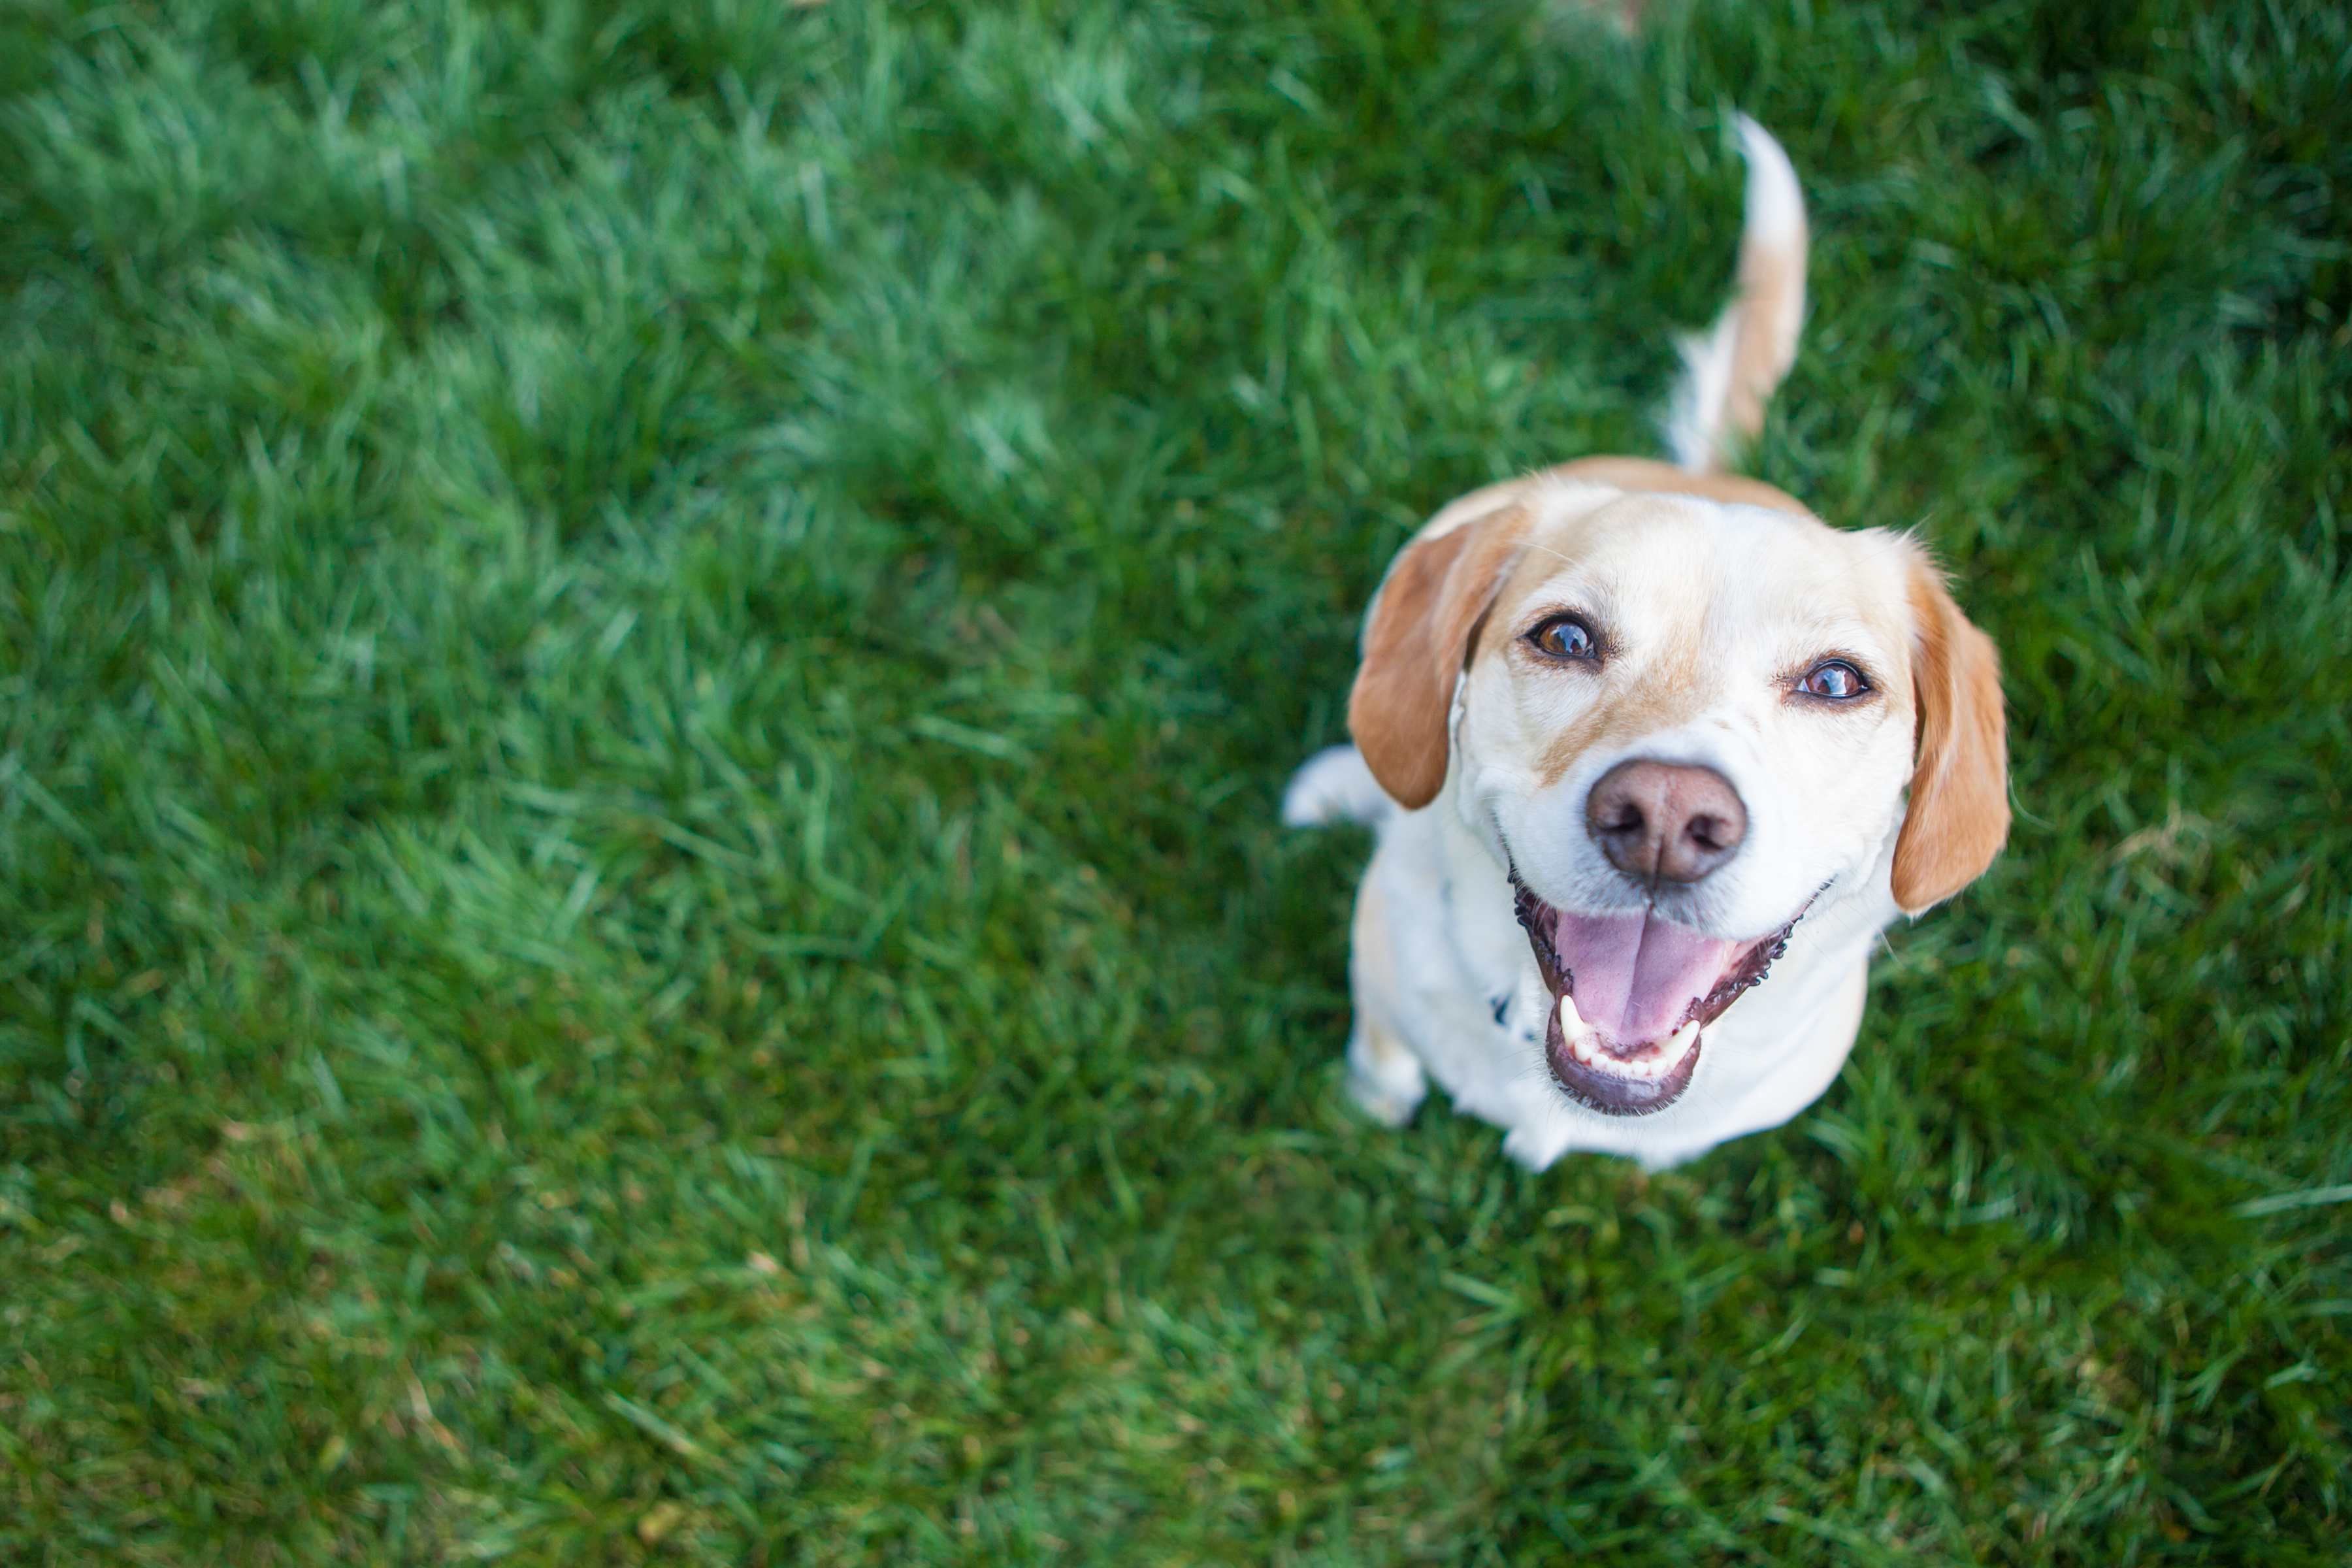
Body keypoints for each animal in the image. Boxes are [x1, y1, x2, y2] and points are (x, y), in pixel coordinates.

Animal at [1279, 123, 2013, 1170]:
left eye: (1836, 682)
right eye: (1565, 636)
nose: (1667, 819)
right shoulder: (1382, 987)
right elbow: (1382, 1061)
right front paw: (1370, 1105)